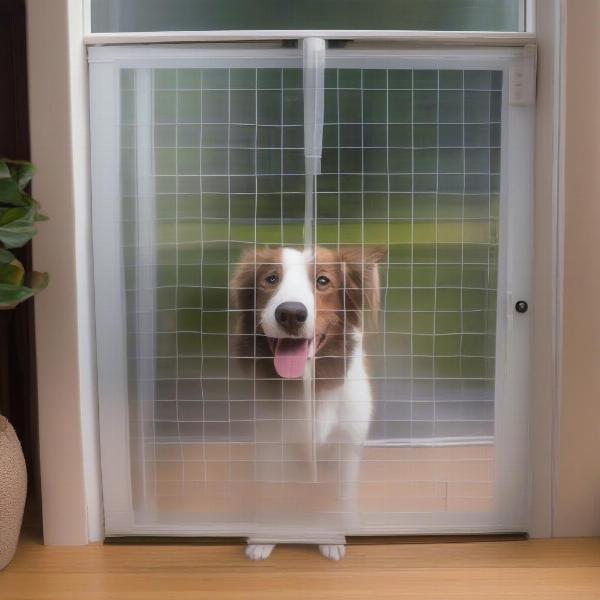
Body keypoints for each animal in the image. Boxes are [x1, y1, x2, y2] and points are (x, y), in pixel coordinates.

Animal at [230, 243, 384, 556]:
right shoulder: (269, 444)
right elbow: (269, 493)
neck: (306, 386)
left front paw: (334, 536)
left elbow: (343, 497)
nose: (291, 313)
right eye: (271, 279)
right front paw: (265, 537)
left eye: (322, 281)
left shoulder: (347, 445)